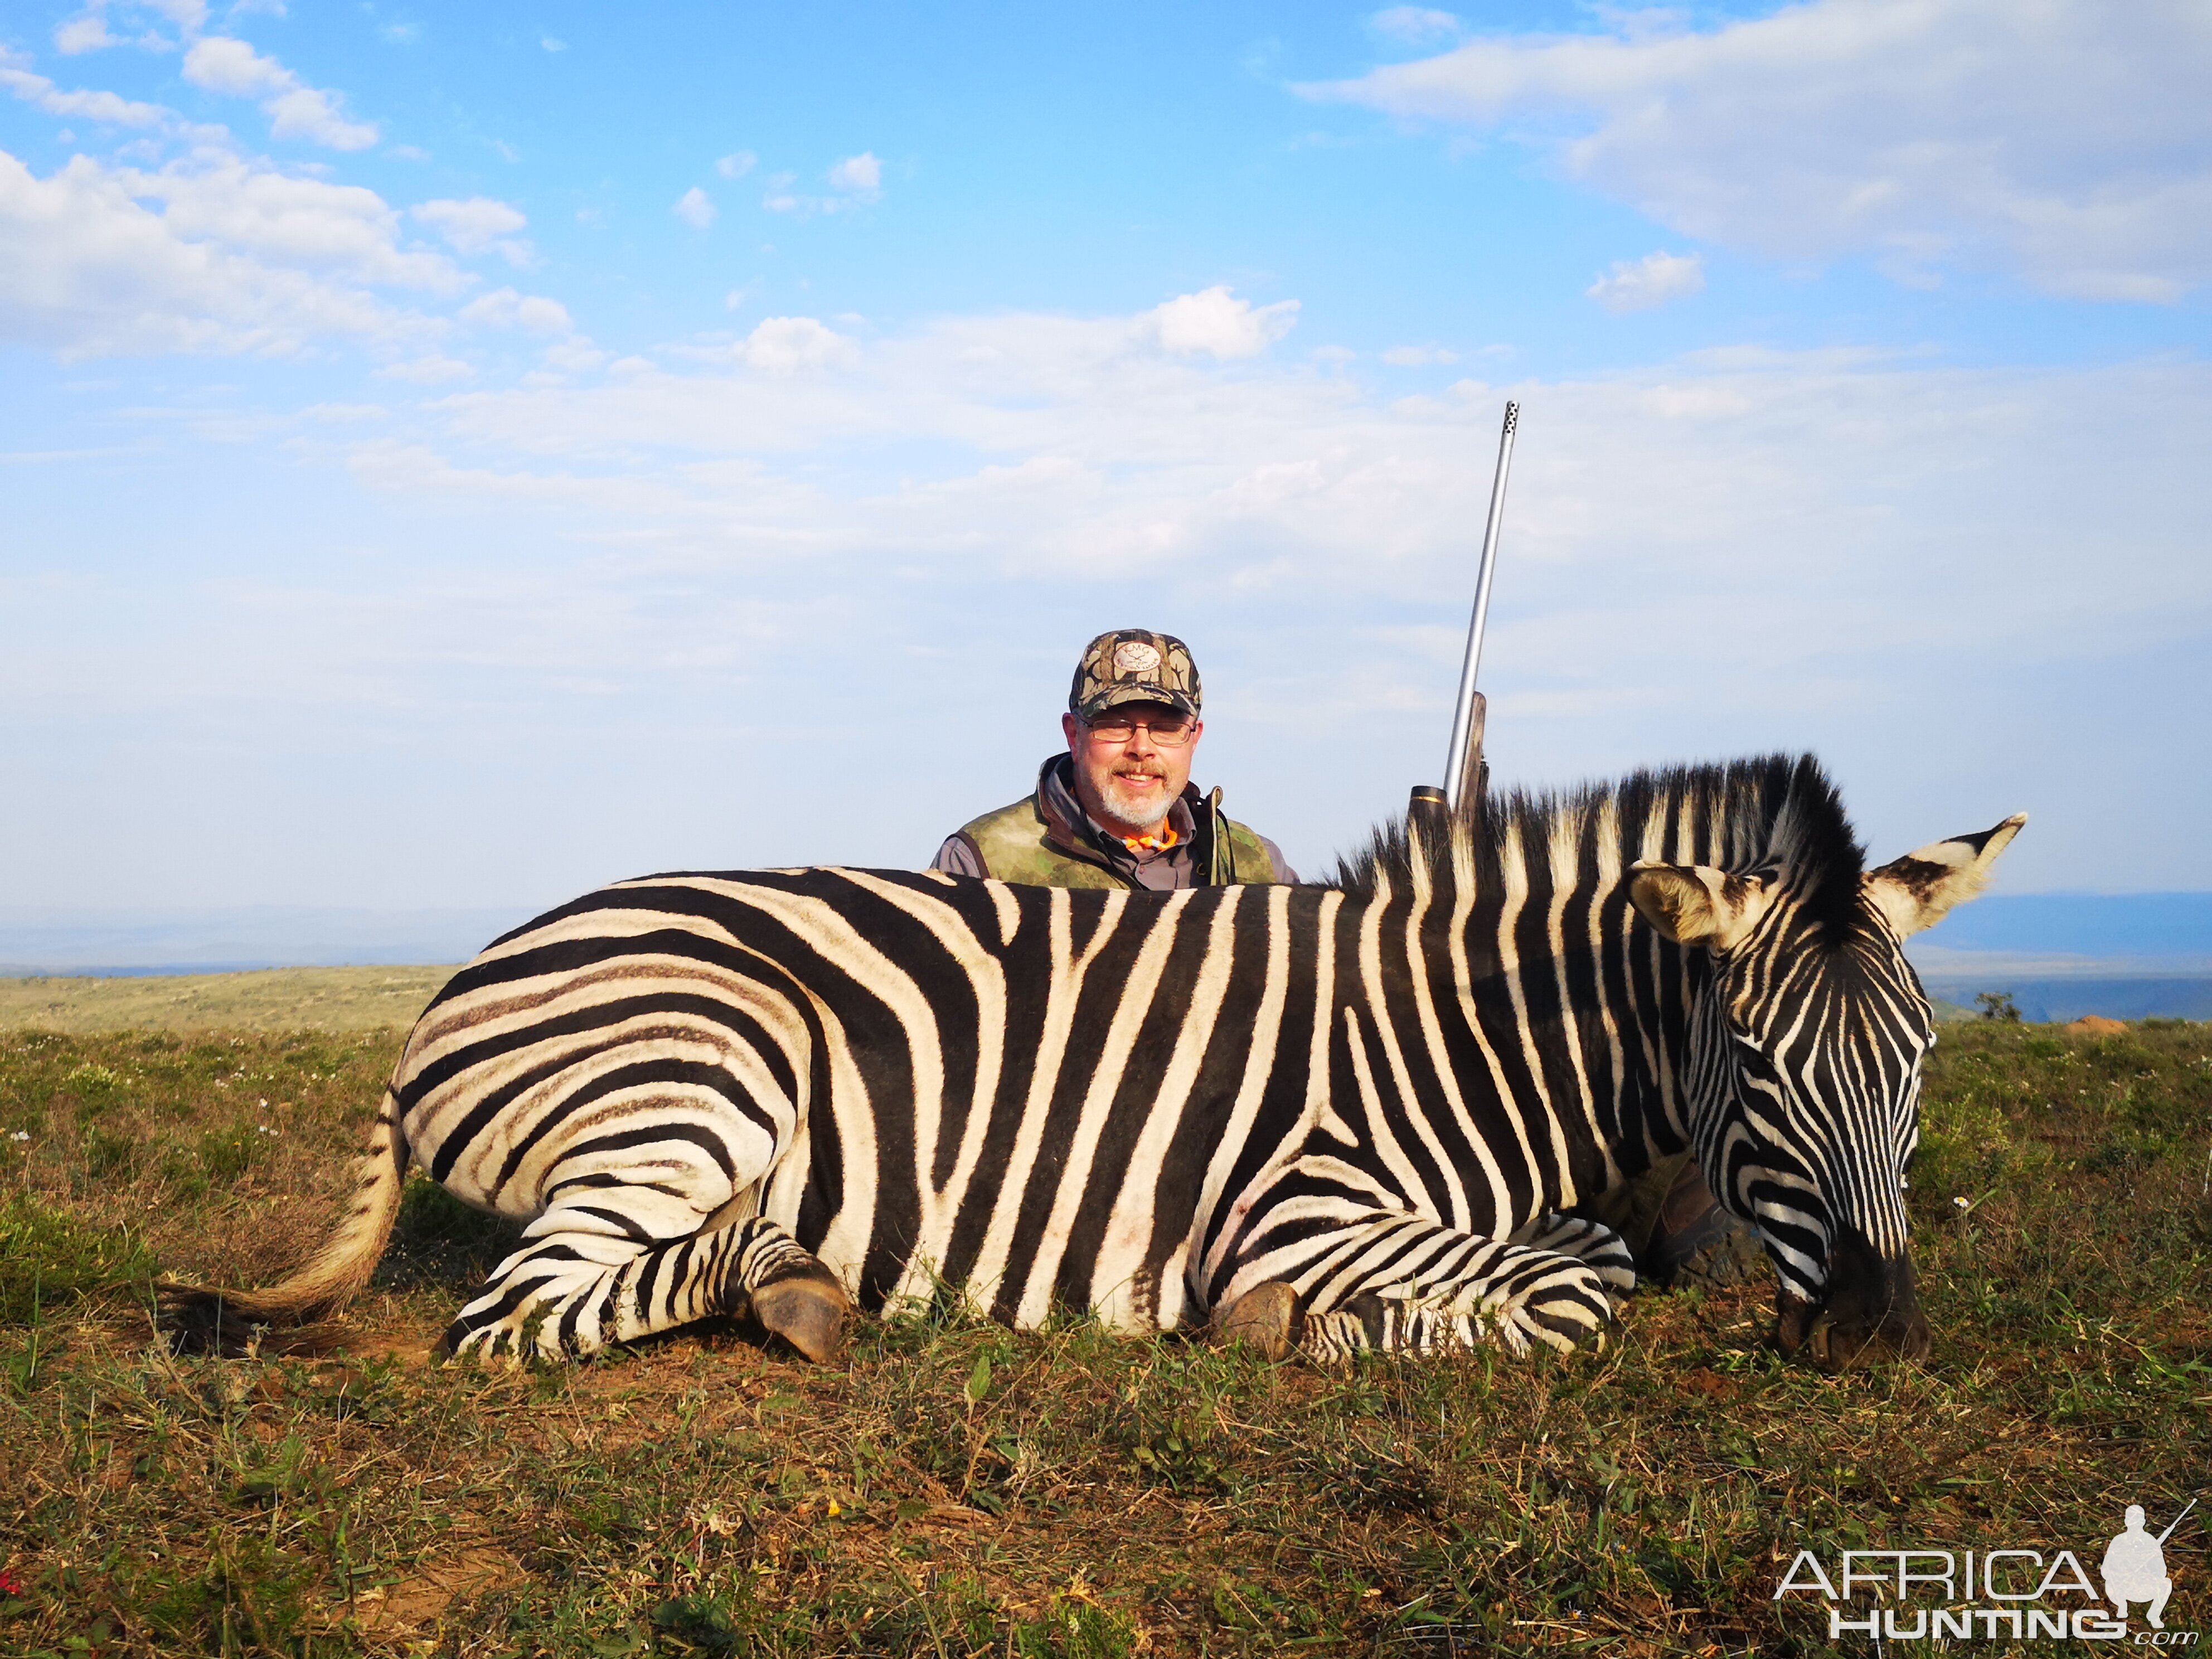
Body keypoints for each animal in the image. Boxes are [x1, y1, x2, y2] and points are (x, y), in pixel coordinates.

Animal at [160, 760, 2026, 1371]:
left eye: (1919, 1061)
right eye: (1755, 1059)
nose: (1878, 1331)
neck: (1480, 1033)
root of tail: (450, 987)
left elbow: (1600, 1255)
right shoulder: (1297, 1206)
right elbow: (1580, 1284)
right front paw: (1305, 1332)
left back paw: (787, 1269)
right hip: (707, 1065)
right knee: (512, 1314)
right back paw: (803, 1285)